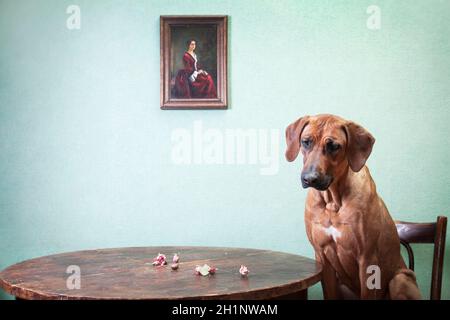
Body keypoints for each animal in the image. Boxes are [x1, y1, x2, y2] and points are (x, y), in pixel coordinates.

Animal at [284, 114, 422, 298]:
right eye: (306, 142)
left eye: (333, 146)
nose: (310, 179)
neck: (333, 202)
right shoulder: (322, 258)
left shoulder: (367, 258)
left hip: (400, 279)